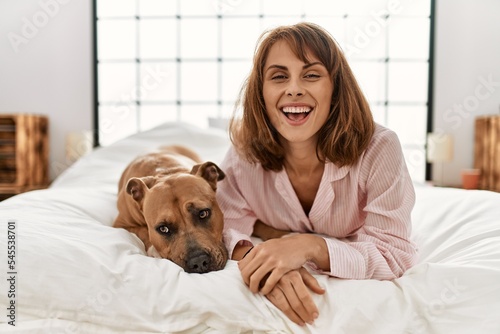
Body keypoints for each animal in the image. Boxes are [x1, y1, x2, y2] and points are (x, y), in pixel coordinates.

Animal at [112, 146, 228, 274]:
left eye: (203, 213)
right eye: (163, 229)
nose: (198, 261)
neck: (166, 173)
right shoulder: (121, 224)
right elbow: (143, 232)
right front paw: (154, 251)